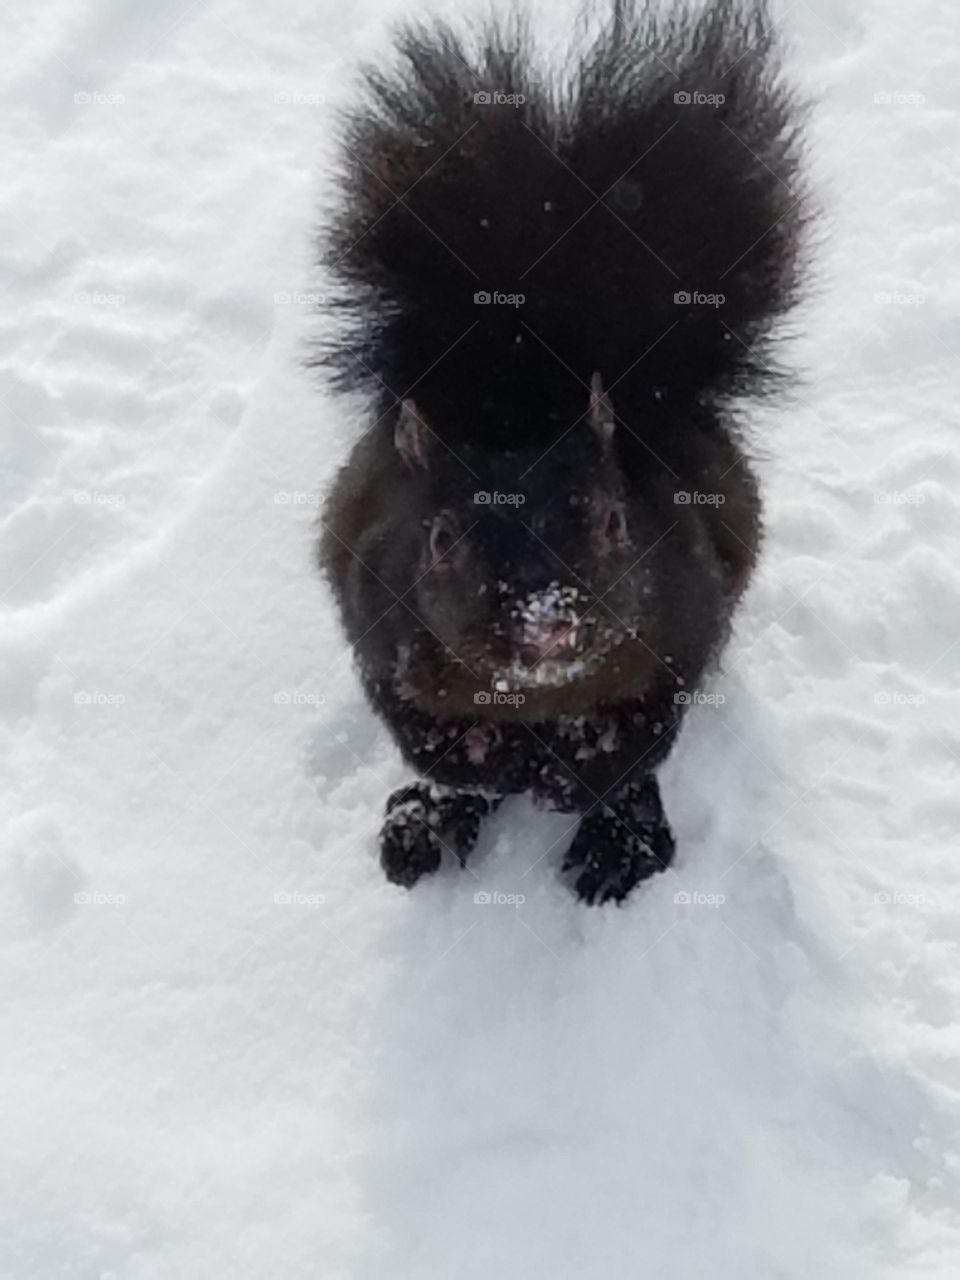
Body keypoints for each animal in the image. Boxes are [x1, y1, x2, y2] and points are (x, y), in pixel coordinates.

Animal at [320, 0, 808, 901]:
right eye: (440, 540)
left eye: (616, 524)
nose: (547, 625)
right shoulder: (371, 595)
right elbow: (418, 729)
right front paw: (475, 761)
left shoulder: (689, 600)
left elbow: (644, 732)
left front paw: (580, 772)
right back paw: (425, 822)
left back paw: (619, 842)